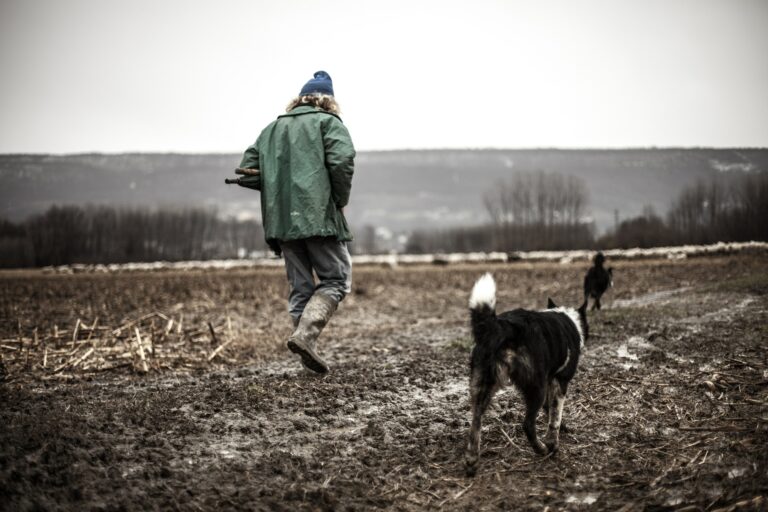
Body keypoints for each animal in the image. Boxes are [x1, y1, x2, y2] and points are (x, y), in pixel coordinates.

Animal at [462, 274, 588, 478]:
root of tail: (501, 327)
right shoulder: (559, 382)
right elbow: (555, 416)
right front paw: (553, 442)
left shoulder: (549, 381)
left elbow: (550, 410)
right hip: (535, 388)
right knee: (527, 425)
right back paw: (542, 449)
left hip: (482, 386)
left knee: (475, 421)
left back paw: (472, 460)